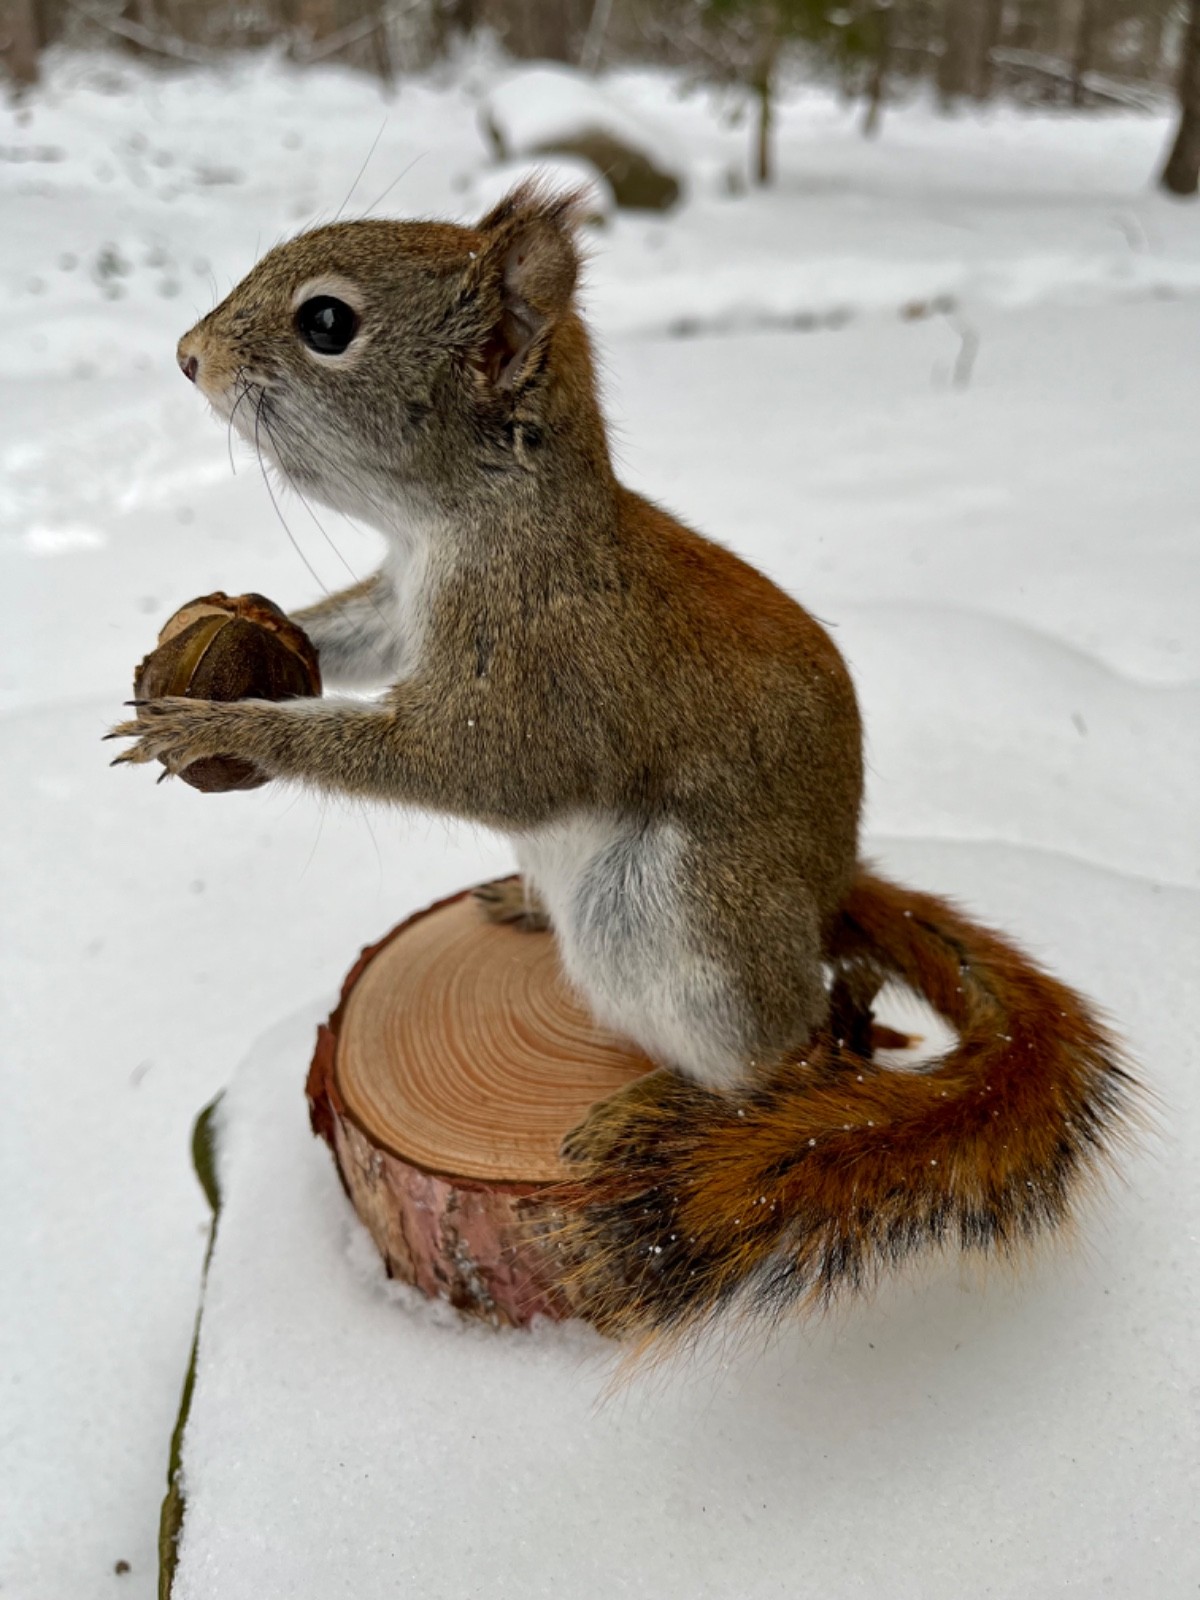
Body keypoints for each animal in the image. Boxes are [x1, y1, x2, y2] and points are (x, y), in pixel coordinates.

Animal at [110, 184, 1137, 1343]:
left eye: (327, 323)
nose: (187, 355)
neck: (458, 526)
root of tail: (829, 894)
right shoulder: (399, 600)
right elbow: (350, 635)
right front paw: (238, 623)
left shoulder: (542, 675)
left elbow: (478, 770)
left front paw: (229, 730)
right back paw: (517, 900)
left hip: (678, 913)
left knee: (782, 1055)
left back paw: (665, 1105)